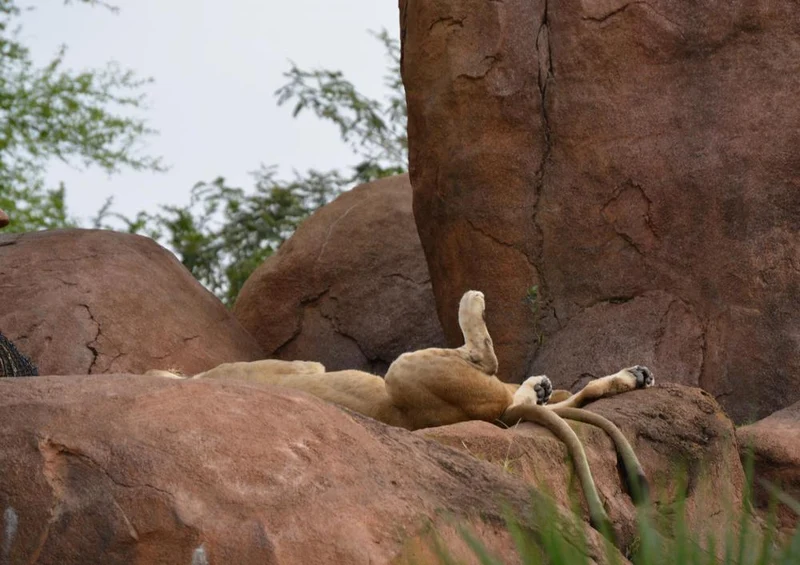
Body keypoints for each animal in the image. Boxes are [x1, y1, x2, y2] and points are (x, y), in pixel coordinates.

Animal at [147, 290, 654, 535]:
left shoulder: (296, 367)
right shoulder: (297, 367)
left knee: (554, 399)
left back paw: (632, 376)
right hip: (411, 367)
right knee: (505, 381)